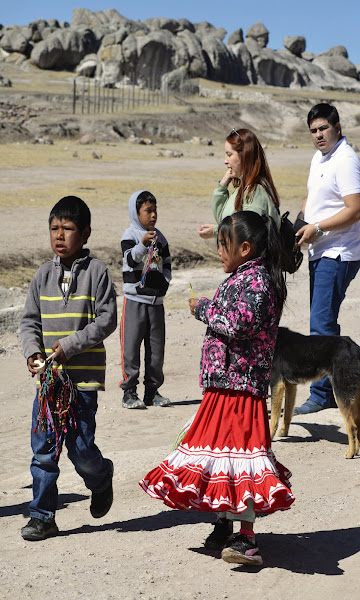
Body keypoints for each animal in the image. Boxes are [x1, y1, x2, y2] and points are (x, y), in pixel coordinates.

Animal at [270, 328, 360, 460]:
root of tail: (354, 348)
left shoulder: (277, 383)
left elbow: (274, 419)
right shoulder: (290, 385)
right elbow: (287, 413)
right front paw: (284, 432)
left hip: (340, 392)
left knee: (352, 426)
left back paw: (350, 453)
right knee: (357, 424)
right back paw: (356, 451)